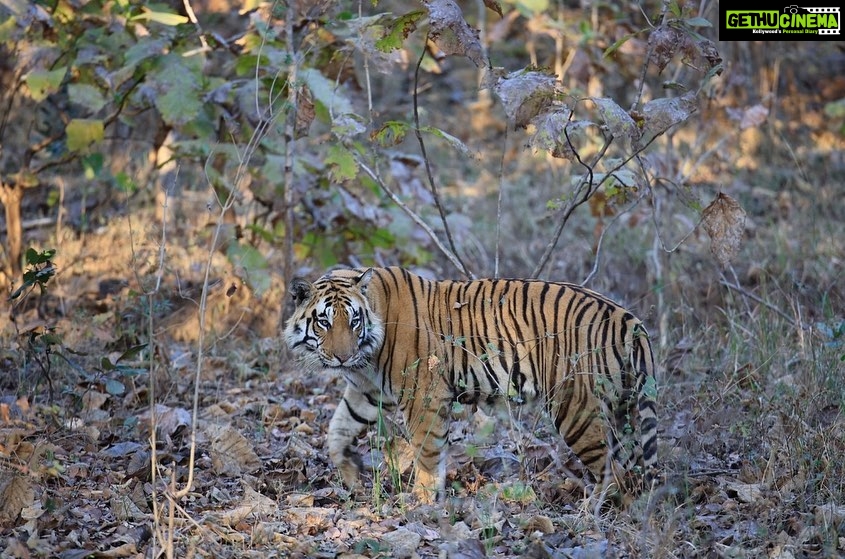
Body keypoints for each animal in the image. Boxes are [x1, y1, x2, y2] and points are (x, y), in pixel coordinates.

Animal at [284, 264, 660, 506]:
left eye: (354, 321)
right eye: (324, 322)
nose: (342, 357)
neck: (366, 356)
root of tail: (630, 319)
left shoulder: (423, 393)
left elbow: (427, 451)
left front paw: (422, 501)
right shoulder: (366, 391)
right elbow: (337, 431)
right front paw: (349, 473)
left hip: (575, 408)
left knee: (610, 470)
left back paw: (589, 513)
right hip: (622, 409)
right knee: (631, 469)